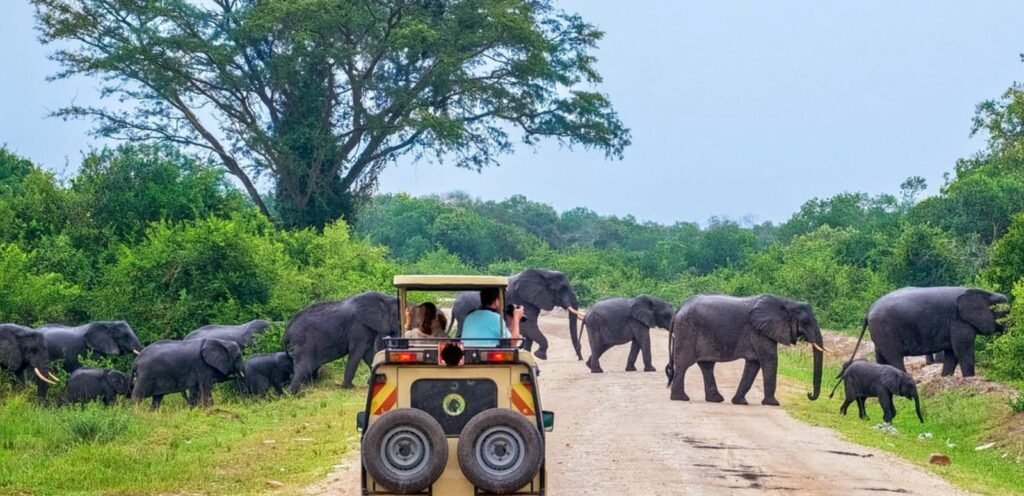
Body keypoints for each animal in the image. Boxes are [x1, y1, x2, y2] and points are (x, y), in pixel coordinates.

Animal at [450, 266, 585, 360]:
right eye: (561, 289)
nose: (580, 358)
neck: (543, 272)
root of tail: (454, 302)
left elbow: (528, 328)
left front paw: (527, 352)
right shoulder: (522, 299)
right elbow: (528, 326)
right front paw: (539, 355)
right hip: (463, 311)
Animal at [663, 293, 823, 405]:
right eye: (805, 322)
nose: (809, 394)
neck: (786, 302)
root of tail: (679, 308)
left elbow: (753, 364)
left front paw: (740, 402)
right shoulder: (759, 331)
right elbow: (770, 360)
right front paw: (773, 404)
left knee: (706, 365)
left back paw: (715, 399)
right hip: (687, 330)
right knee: (684, 363)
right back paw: (681, 398)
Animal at [847, 284, 1007, 377]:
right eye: (1004, 313)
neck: (986, 293)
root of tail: (869, 311)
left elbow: (951, 352)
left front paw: (946, 378)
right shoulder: (959, 321)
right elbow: (962, 349)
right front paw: (969, 378)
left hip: (879, 331)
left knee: (881, 356)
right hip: (886, 330)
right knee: (894, 357)